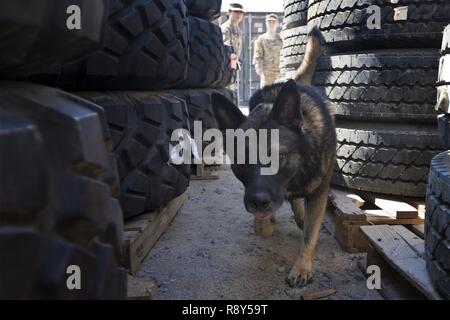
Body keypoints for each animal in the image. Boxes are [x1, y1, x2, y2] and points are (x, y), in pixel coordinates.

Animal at [211, 28, 334, 288]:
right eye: (241, 160)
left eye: (278, 156)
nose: (258, 202)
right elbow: (262, 228)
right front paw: (266, 224)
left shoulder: (319, 193)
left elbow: (310, 235)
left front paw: (301, 267)